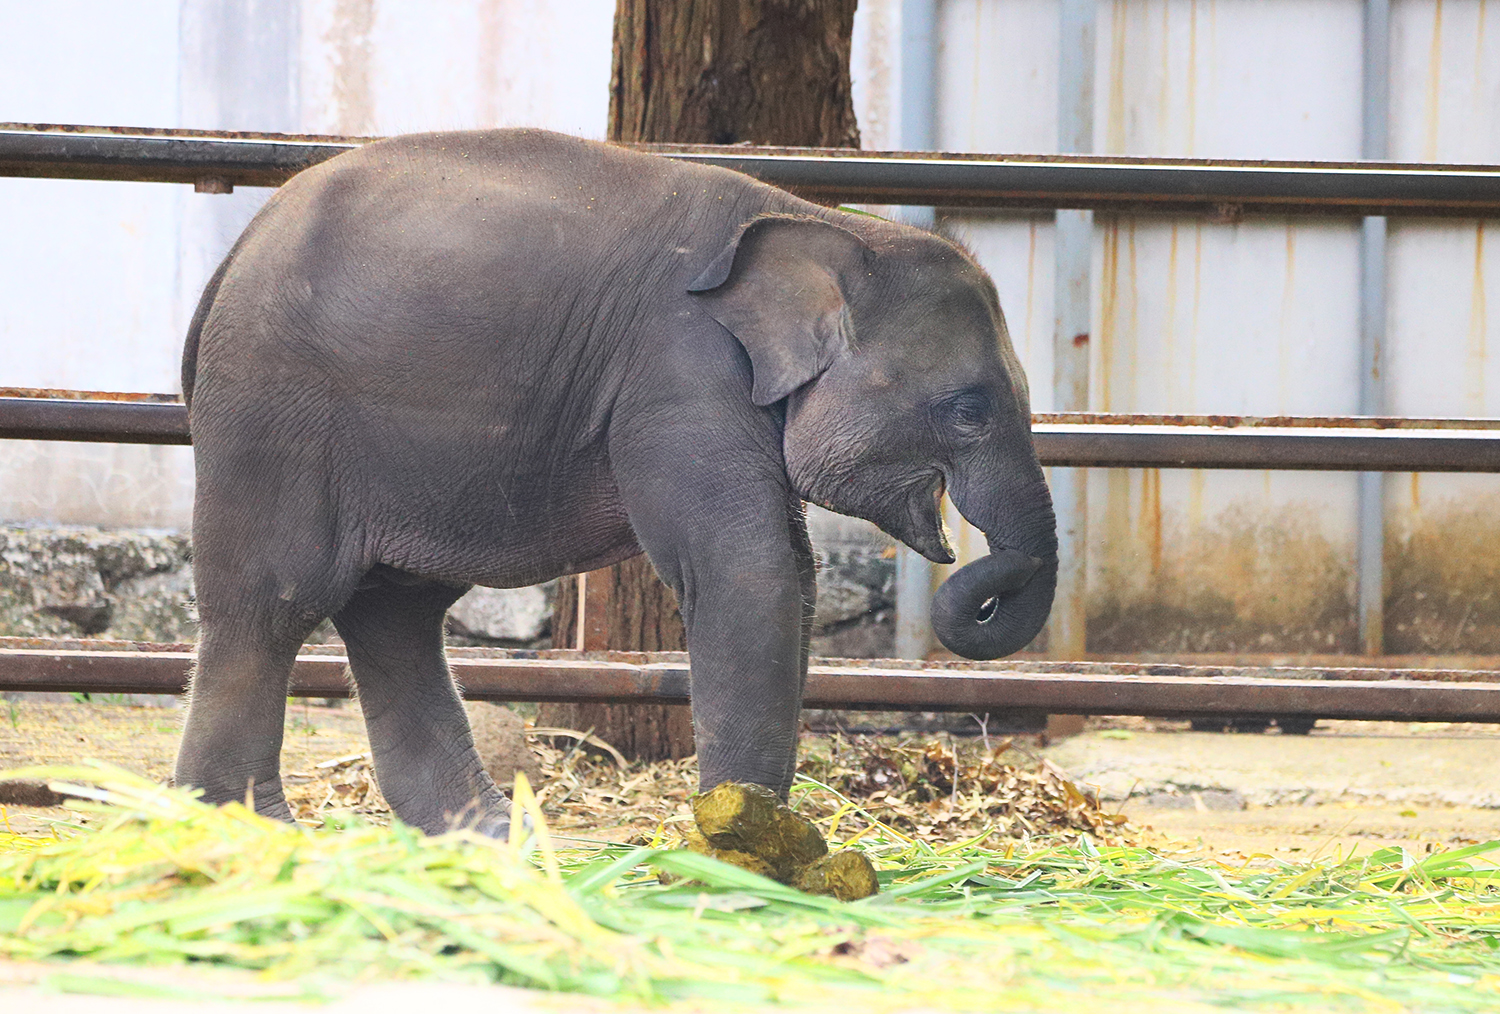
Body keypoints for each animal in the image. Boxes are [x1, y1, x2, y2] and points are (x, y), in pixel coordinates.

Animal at [176, 128, 1057, 836]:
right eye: (970, 409)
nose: (969, 573)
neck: (836, 225)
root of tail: (231, 258)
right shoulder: (680, 373)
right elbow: (751, 572)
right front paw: (744, 845)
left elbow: (795, 576)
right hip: (273, 414)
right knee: (277, 599)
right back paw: (248, 830)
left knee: (395, 610)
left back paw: (488, 837)